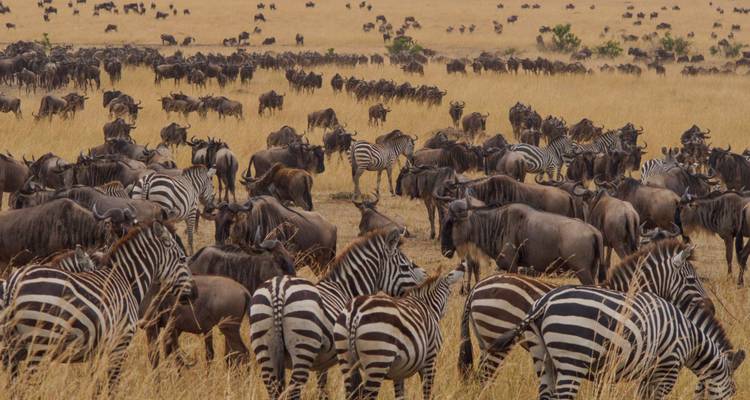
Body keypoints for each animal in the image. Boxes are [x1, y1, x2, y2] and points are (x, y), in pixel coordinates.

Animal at [0, 222, 194, 394]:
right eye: (182, 258)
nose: (194, 292)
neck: (126, 281)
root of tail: (15, 282)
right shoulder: (120, 343)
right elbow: (112, 385)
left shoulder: (98, 349)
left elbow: (95, 384)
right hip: (39, 344)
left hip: (15, 350)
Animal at [249, 228, 426, 400]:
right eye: (405, 267)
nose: (425, 278)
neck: (345, 289)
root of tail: (278, 289)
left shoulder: (322, 361)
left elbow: (322, 388)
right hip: (303, 346)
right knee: (293, 391)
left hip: (265, 349)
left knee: (273, 389)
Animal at [334, 262, 465, 400]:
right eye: (450, 292)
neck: (426, 304)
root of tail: (355, 312)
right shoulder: (431, 357)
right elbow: (427, 391)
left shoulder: (399, 370)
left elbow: (400, 394)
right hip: (378, 359)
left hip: (346, 359)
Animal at [458, 240, 713, 388]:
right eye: (692, 280)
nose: (712, 308)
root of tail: (475, 289)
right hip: (496, 336)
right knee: (482, 379)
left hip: (486, 341)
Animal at [491, 286, 743, 400]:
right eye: (732, 391)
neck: (691, 339)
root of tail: (544, 302)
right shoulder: (668, 367)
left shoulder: (650, 371)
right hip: (572, 360)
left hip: (541, 357)